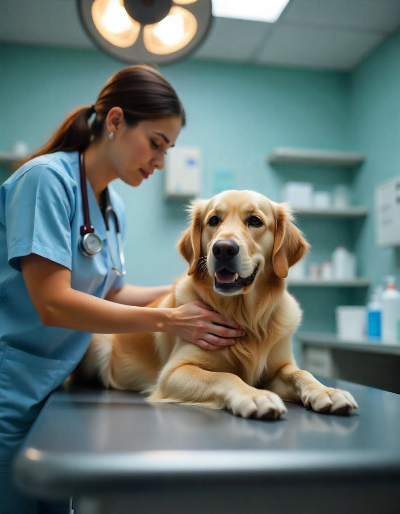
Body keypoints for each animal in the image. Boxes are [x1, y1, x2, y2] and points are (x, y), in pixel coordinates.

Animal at [74, 190, 356, 418]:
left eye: (255, 221)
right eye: (213, 220)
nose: (223, 249)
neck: (245, 316)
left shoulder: (280, 367)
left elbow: (302, 373)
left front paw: (327, 391)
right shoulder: (174, 372)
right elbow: (227, 376)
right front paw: (255, 395)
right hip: (99, 341)